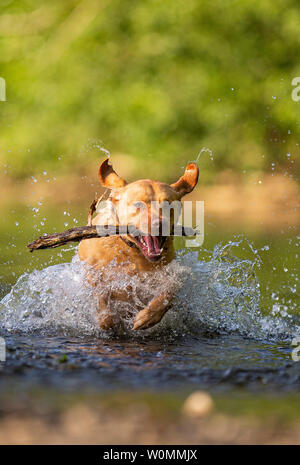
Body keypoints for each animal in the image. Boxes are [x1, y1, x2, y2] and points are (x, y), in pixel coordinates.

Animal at [78, 159, 198, 330]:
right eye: (138, 205)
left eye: (168, 205)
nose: (159, 224)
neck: (133, 254)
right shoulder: (94, 274)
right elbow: (102, 299)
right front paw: (107, 319)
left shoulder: (166, 275)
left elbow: (171, 290)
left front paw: (148, 317)